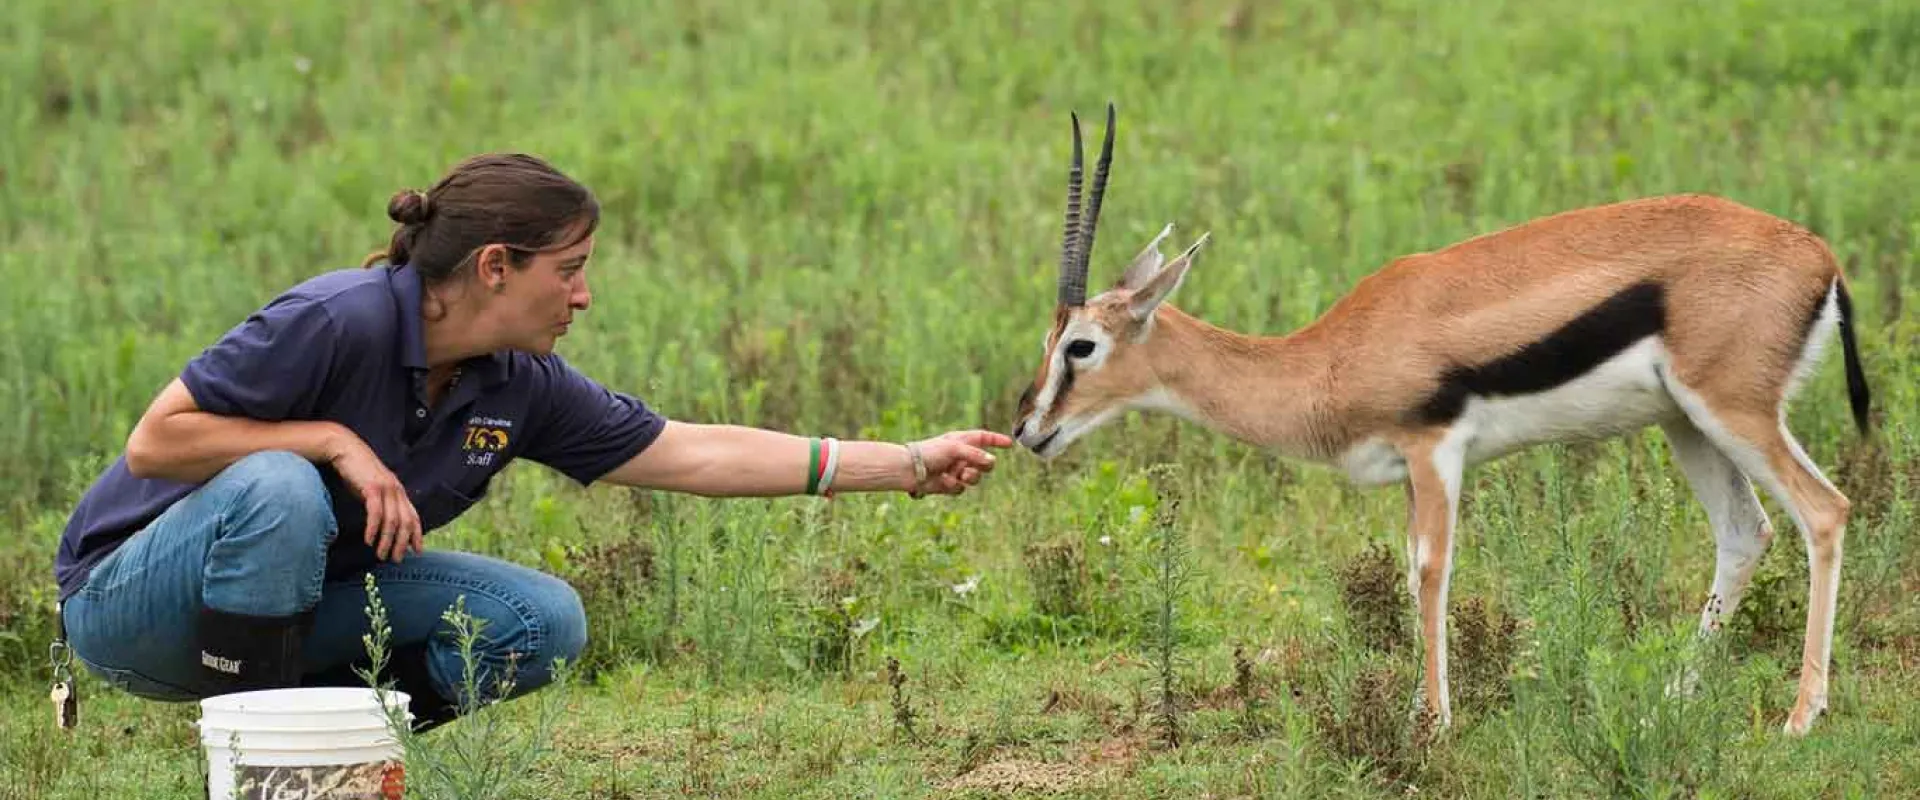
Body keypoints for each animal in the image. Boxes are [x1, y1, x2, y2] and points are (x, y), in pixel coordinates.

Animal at [1011, 104, 1873, 736]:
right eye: (1049, 340)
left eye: (1081, 345)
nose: (1027, 428)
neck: (1334, 355)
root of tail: (1820, 256)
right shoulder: (1405, 471)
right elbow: (1407, 569)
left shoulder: (1435, 451)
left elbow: (1431, 572)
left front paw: (1430, 723)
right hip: (1686, 424)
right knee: (1745, 532)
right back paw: (1674, 696)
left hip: (1734, 413)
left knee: (1825, 511)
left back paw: (1802, 717)